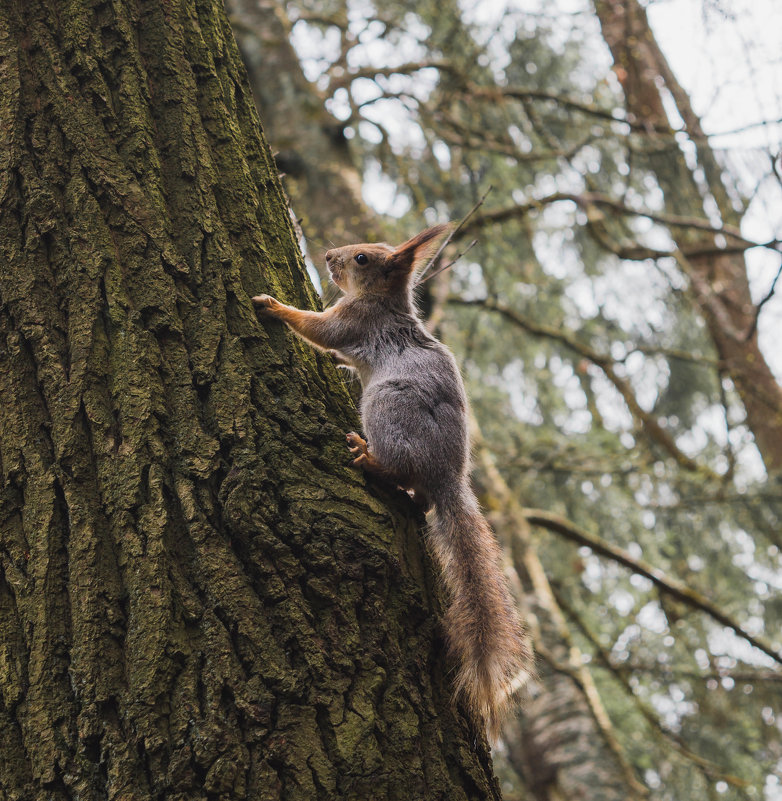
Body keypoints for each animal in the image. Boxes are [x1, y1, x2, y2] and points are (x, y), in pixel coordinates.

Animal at [254, 225, 536, 736]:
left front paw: (273, 306)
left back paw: (370, 460)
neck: (383, 300)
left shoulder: (356, 321)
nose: (329, 255)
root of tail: (446, 477)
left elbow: (319, 330)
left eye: (362, 258)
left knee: (398, 469)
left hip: (385, 405)